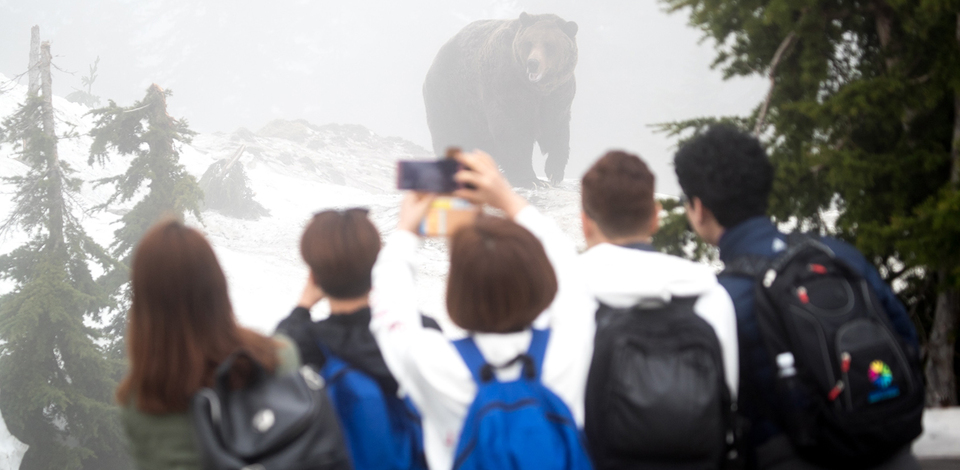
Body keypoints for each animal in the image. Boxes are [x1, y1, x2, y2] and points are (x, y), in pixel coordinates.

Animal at [426, 12, 576, 186]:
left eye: (549, 45)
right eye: (529, 43)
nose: (533, 63)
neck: (536, 89)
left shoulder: (558, 96)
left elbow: (556, 130)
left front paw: (554, 172)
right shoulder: (506, 86)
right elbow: (512, 130)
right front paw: (530, 179)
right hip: (451, 97)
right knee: (448, 132)